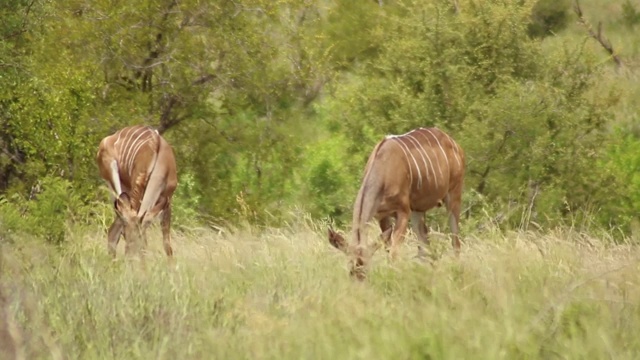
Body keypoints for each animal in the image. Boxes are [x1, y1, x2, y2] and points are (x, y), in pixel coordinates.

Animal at [95, 124, 176, 258]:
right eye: (125, 235)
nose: (130, 257)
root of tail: (106, 140)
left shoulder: (167, 202)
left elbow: (167, 245)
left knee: (113, 231)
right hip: (116, 186)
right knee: (112, 232)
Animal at [330, 128, 464, 280]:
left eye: (366, 270)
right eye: (351, 271)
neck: (384, 168)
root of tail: (454, 143)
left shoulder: (403, 211)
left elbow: (394, 252)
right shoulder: (382, 215)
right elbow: (388, 248)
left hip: (454, 195)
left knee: (455, 241)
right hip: (418, 210)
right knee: (425, 243)